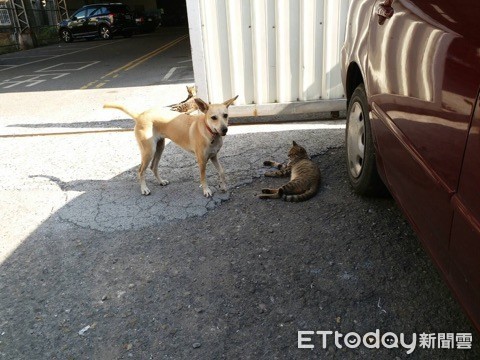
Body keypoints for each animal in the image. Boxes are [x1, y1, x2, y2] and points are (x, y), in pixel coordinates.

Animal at [104, 95, 237, 197]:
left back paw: (161, 181)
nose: (224, 130)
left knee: (153, 166)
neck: (208, 130)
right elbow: (203, 177)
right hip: (149, 151)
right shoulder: (202, 161)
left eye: (225, 115)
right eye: (213, 117)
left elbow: (222, 171)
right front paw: (206, 190)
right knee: (141, 170)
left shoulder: (214, 156)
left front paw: (223, 186)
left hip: (160, 147)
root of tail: (140, 115)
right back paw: (144, 189)